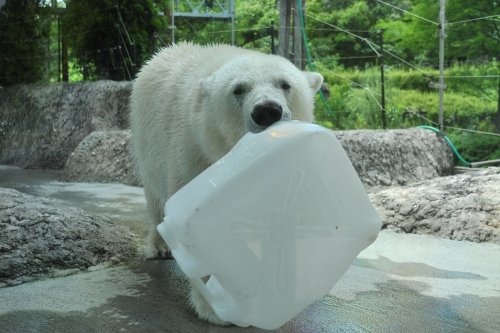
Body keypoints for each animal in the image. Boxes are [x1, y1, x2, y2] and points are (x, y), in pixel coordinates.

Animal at [130, 42, 324, 324]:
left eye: (285, 84)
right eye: (238, 89)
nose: (267, 110)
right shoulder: (194, 151)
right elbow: (199, 226)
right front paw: (215, 308)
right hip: (148, 141)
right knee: (155, 199)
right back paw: (159, 246)